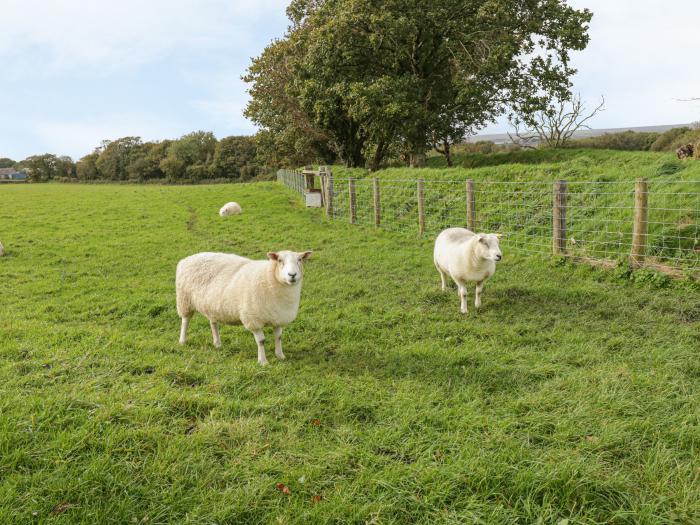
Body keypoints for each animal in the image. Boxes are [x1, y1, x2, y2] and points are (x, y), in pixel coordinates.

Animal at [178, 250, 312, 364]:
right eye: (280, 260)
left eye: (299, 259)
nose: (292, 275)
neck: (269, 278)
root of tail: (189, 258)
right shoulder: (253, 319)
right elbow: (261, 341)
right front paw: (263, 361)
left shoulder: (278, 317)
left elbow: (278, 337)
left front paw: (280, 355)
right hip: (184, 300)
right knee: (185, 321)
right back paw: (182, 341)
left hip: (211, 305)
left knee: (213, 323)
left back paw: (217, 343)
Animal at [278, 169, 700, 276]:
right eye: (488, 244)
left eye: (500, 244)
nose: (499, 258)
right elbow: (466, 295)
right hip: (440, 268)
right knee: (444, 280)